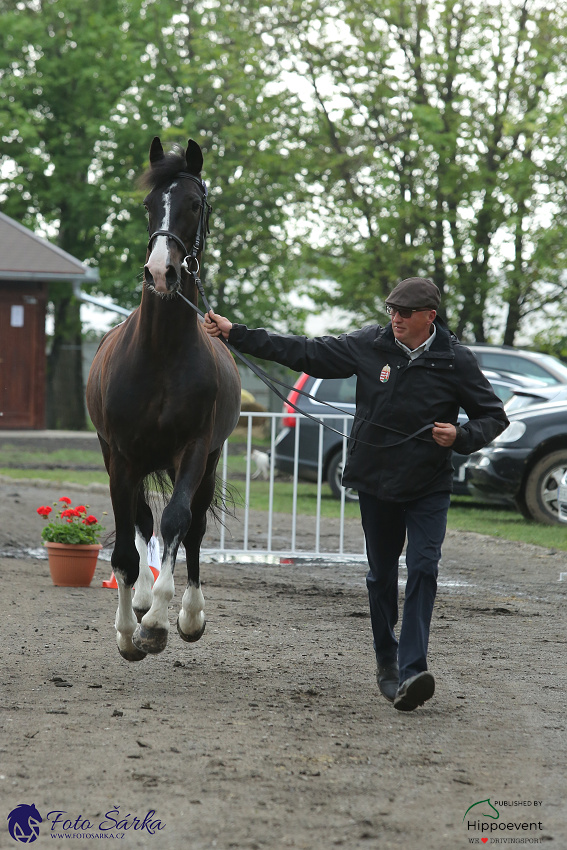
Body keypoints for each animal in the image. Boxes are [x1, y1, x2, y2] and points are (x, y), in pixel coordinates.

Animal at [86, 136, 242, 660]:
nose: (161, 271)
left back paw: (186, 614)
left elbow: (177, 522)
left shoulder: (193, 451)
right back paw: (135, 604)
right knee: (139, 522)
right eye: (149, 205)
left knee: (190, 529)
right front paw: (128, 630)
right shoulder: (120, 457)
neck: (159, 353)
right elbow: (124, 550)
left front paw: (157, 621)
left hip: (205, 464)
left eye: (195, 204)